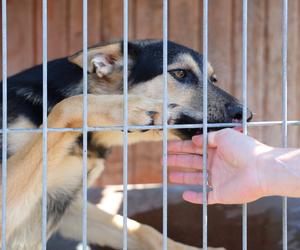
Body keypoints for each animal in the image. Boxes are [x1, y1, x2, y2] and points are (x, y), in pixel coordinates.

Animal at [0, 40, 251, 249]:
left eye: (213, 80)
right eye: (180, 73)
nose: (246, 114)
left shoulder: (65, 200)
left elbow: (144, 231)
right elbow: (71, 103)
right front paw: (128, 107)